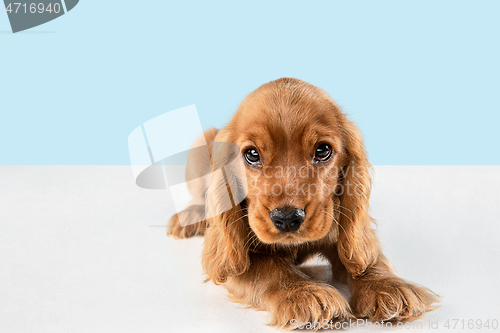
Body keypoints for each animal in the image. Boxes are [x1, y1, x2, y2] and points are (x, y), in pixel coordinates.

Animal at [168, 77, 438, 326]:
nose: (287, 218)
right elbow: (270, 268)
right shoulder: (240, 256)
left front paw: (387, 285)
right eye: (252, 154)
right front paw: (305, 293)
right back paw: (190, 218)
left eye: (323, 150)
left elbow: (365, 255)